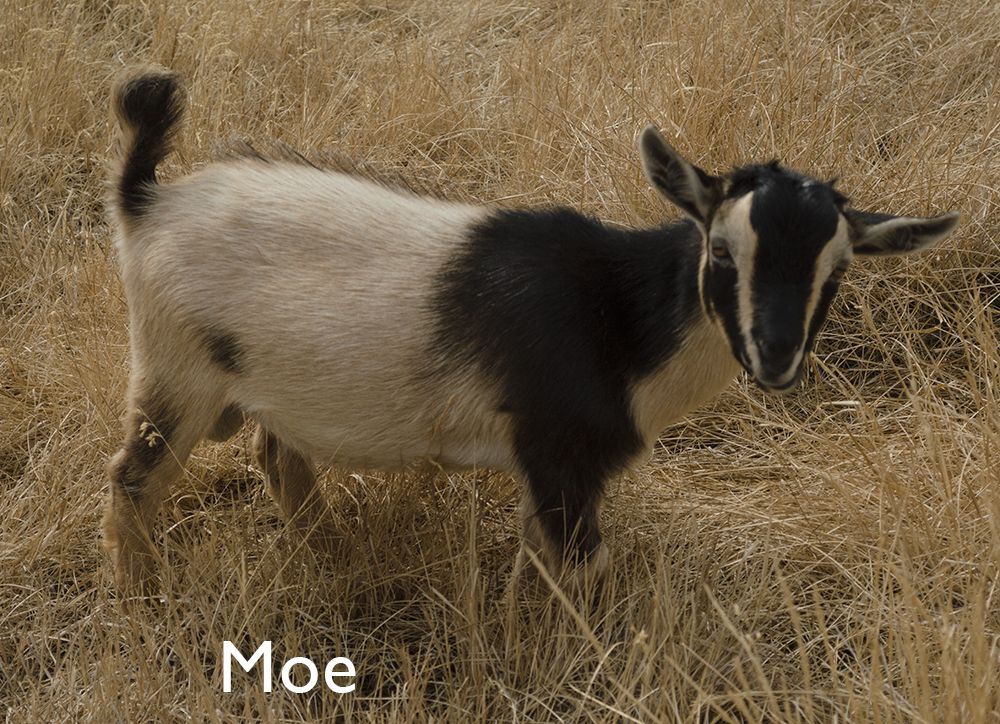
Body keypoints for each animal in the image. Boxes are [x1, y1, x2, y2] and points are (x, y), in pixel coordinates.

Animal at [103, 67, 959, 591]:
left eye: (837, 271)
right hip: (176, 375)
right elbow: (583, 572)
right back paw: (149, 598)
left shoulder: (548, 474)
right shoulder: (559, 456)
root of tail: (149, 201)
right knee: (133, 480)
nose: (776, 357)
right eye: (721, 248)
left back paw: (327, 550)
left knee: (281, 460)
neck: (622, 315)